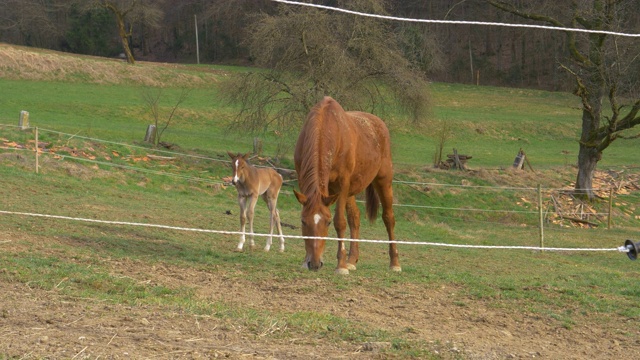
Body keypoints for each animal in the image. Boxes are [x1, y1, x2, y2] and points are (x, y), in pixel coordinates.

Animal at [294, 97, 400, 274]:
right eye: (303, 221)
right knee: (355, 217)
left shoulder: (342, 185)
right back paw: (352, 260)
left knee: (388, 218)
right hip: (350, 191)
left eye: (327, 222)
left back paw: (395, 263)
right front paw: (305, 260)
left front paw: (341, 266)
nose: (314, 264)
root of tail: (379, 123)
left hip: (383, 181)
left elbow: (340, 222)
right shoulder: (304, 183)